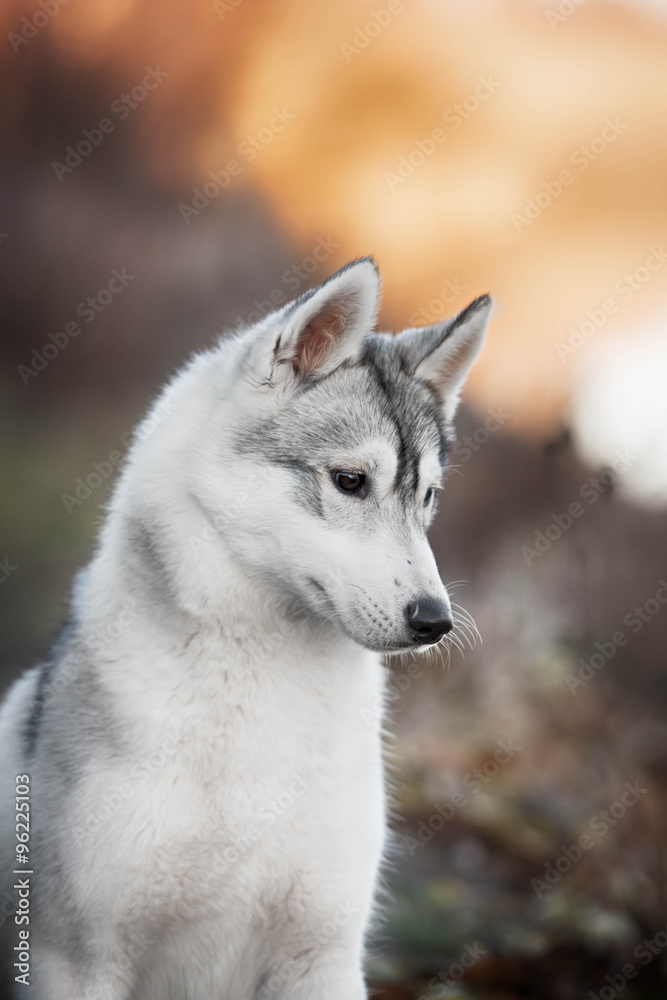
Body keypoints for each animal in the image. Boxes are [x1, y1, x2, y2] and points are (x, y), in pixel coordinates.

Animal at [0, 260, 490, 1000]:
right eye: (350, 481)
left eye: (427, 498)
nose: (435, 621)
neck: (259, 686)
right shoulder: (76, 959)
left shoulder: (321, 957)